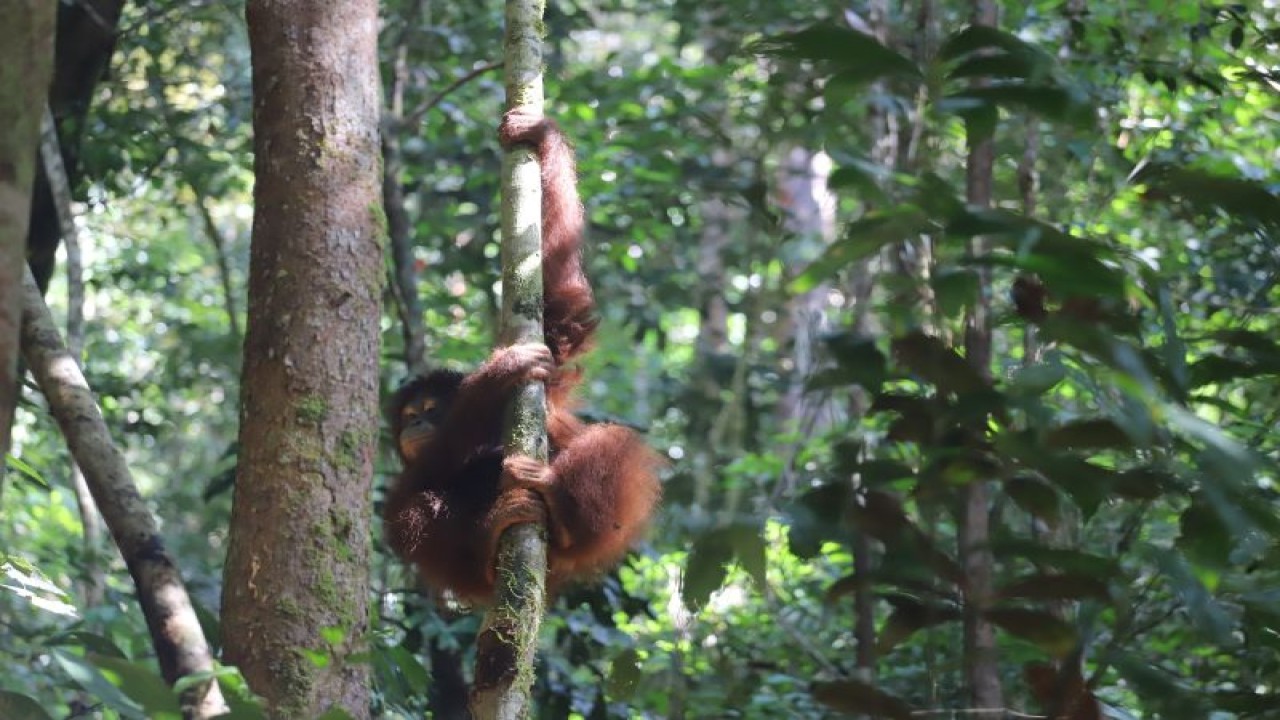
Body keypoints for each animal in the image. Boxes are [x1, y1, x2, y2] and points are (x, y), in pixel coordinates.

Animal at [382, 107, 662, 603]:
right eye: (410, 415)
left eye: (430, 410)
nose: (414, 425)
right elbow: (417, 484)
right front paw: (498, 376)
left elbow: (560, 310)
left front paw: (540, 134)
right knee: (407, 512)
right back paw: (488, 539)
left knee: (617, 446)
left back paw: (564, 508)